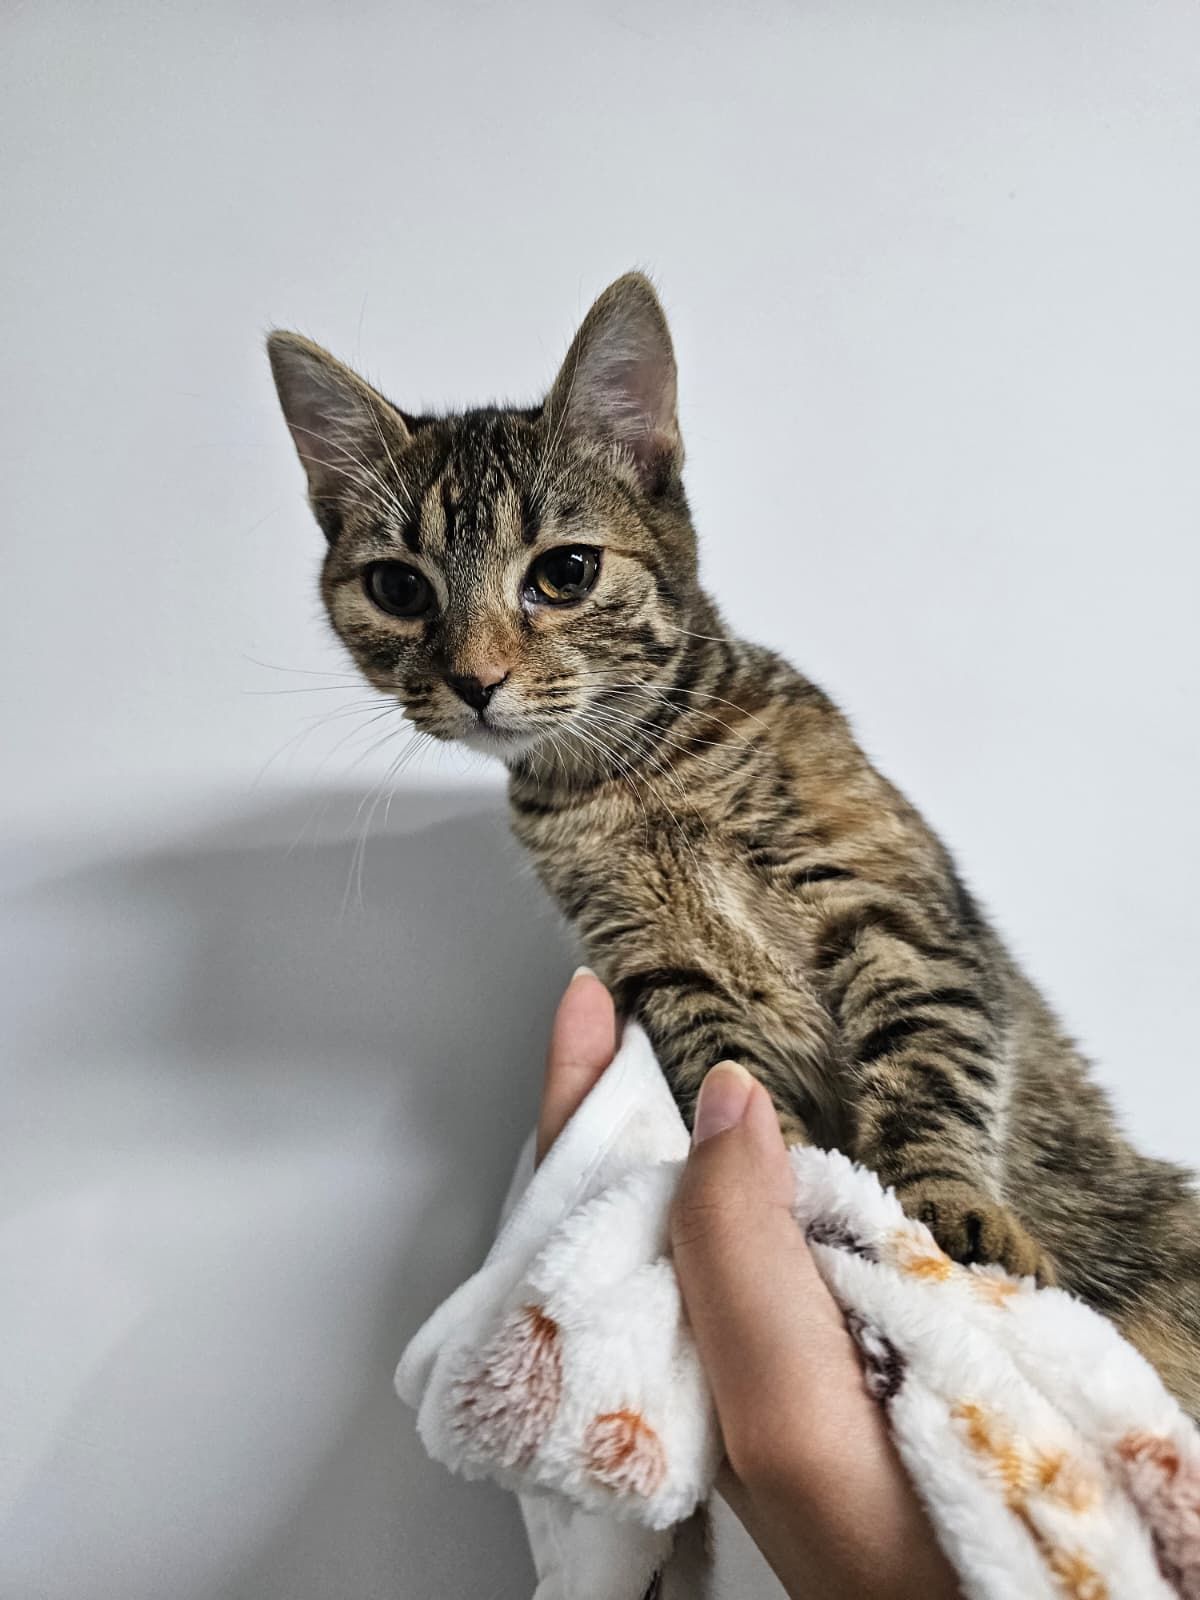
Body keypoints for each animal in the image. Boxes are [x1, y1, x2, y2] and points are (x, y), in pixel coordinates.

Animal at [267, 273, 1200, 1418]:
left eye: (564, 573)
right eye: (398, 588)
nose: (475, 680)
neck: (635, 777)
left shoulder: (891, 902)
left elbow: (931, 1056)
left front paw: (946, 1206)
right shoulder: (657, 967)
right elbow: (730, 1071)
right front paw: (794, 1187)